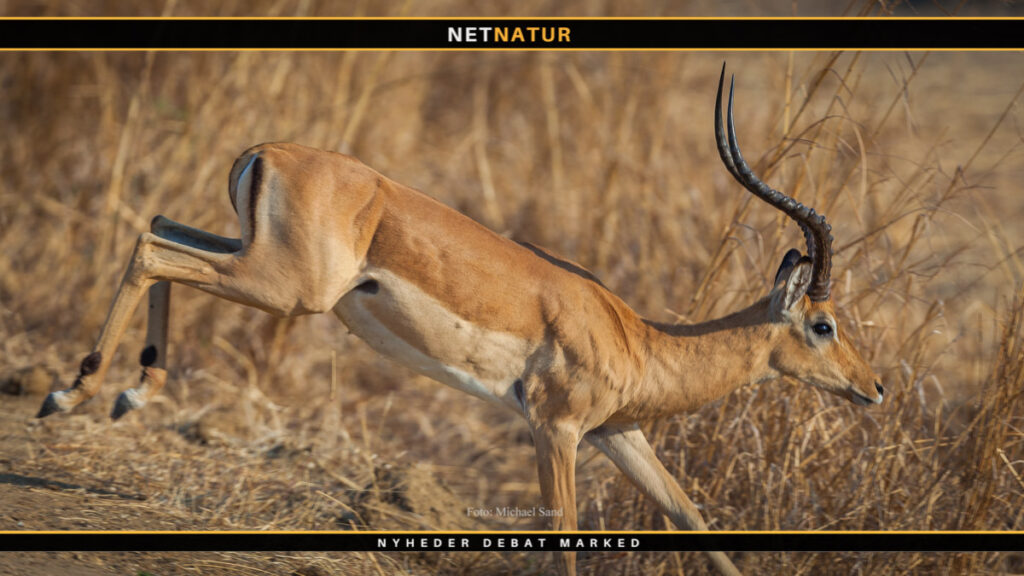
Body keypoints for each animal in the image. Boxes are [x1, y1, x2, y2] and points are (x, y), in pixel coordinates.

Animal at [38, 65, 883, 576]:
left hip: (256, 262)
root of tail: (265, 149)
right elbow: (564, 539)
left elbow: (693, 520)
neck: (640, 341)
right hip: (288, 289)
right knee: (150, 248)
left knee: (156, 223)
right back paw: (69, 395)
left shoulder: (619, 433)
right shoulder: (556, 428)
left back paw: (129, 394)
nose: (873, 389)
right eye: (824, 324)